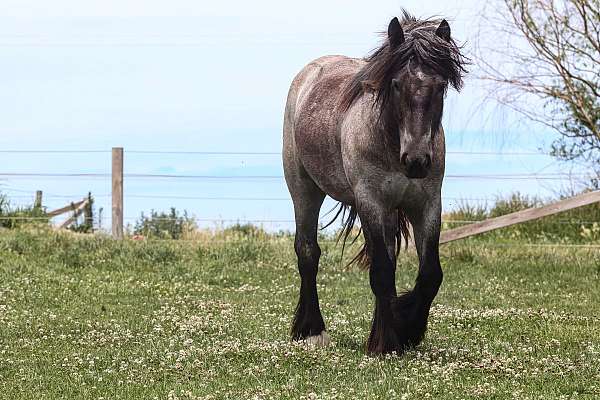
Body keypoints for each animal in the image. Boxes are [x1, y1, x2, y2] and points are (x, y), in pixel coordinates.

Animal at [282, 11, 468, 354]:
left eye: (440, 87)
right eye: (395, 84)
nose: (416, 161)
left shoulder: (427, 204)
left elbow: (430, 274)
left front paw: (407, 327)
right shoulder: (371, 201)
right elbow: (381, 272)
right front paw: (387, 341)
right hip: (303, 188)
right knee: (307, 252)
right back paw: (312, 330)